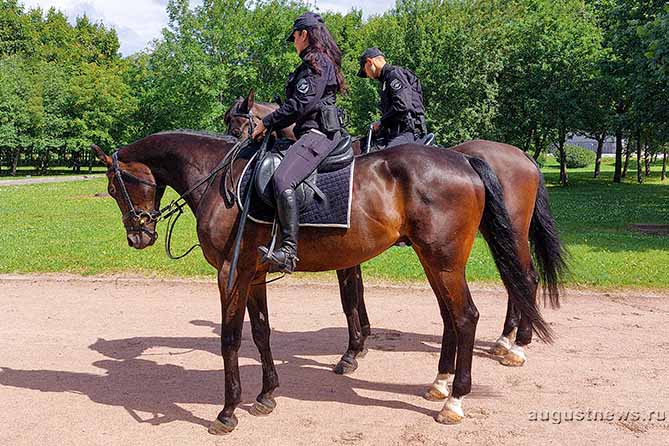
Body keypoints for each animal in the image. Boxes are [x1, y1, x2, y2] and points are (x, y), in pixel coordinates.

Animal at [94, 130, 552, 436]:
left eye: (115, 186)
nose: (138, 236)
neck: (222, 181)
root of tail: (466, 161)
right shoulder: (254, 275)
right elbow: (261, 333)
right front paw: (266, 395)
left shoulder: (231, 273)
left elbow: (230, 340)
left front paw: (228, 411)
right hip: (435, 261)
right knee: (453, 316)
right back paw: (442, 384)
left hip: (445, 260)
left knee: (471, 313)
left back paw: (460, 394)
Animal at [226, 90, 568, 386]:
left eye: (238, 125)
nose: (233, 156)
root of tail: (524, 157)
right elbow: (357, 295)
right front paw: (361, 340)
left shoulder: (346, 256)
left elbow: (350, 298)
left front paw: (352, 350)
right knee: (515, 280)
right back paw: (506, 339)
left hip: (509, 234)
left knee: (525, 278)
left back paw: (517, 343)